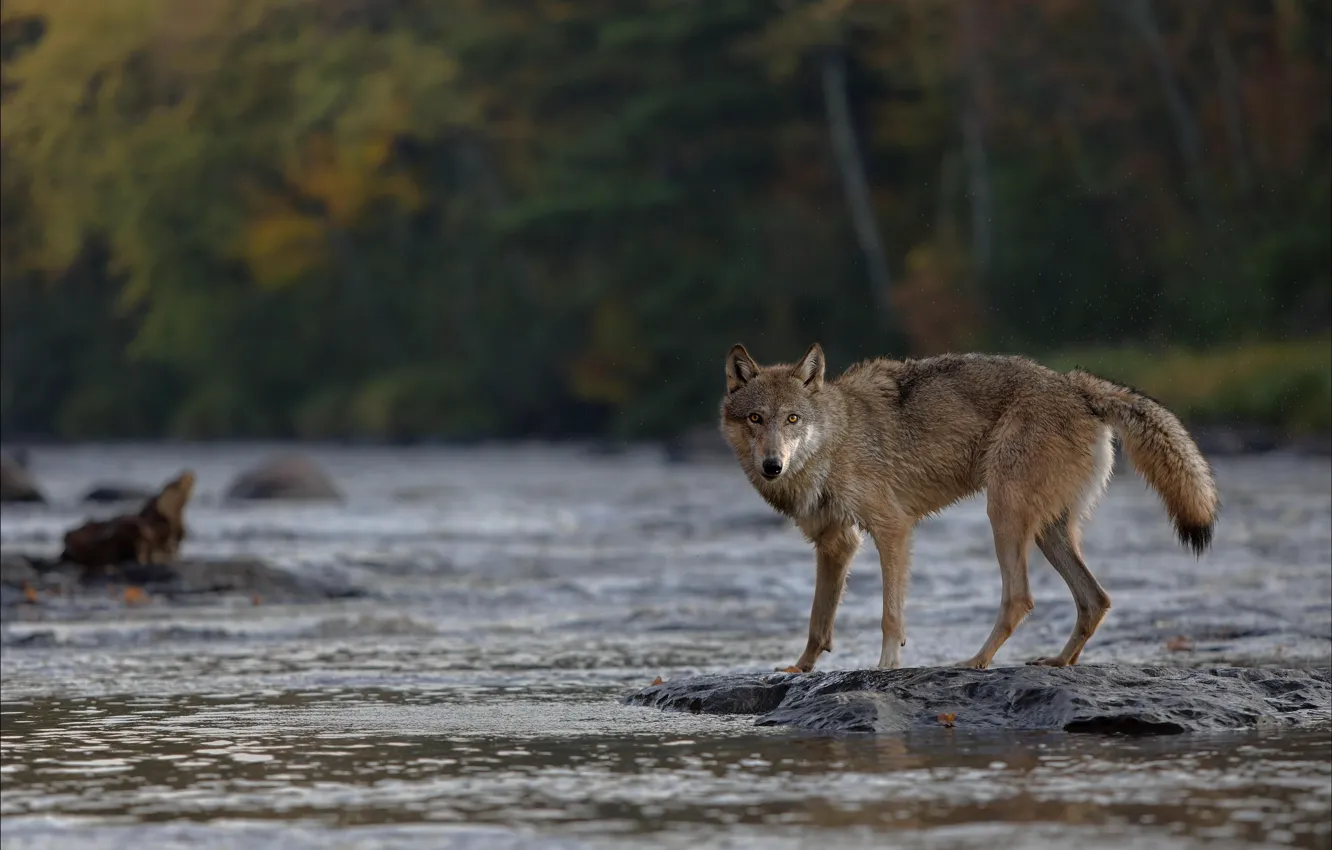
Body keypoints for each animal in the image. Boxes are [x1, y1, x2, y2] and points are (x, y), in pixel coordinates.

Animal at [719, 343, 1220, 671]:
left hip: (1003, 514)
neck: (834, 442)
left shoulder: (893, 528)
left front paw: (885, 670)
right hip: (1048, 531)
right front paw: (798, 670)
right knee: (1095, 600)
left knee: (1020, 598)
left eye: (792, 419)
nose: (772, 466)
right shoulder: (835, 542)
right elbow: (817, 621)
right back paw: (1058, 662)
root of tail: (1075, 384)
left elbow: (889, 616)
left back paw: (975, 662)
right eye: (756, 419)